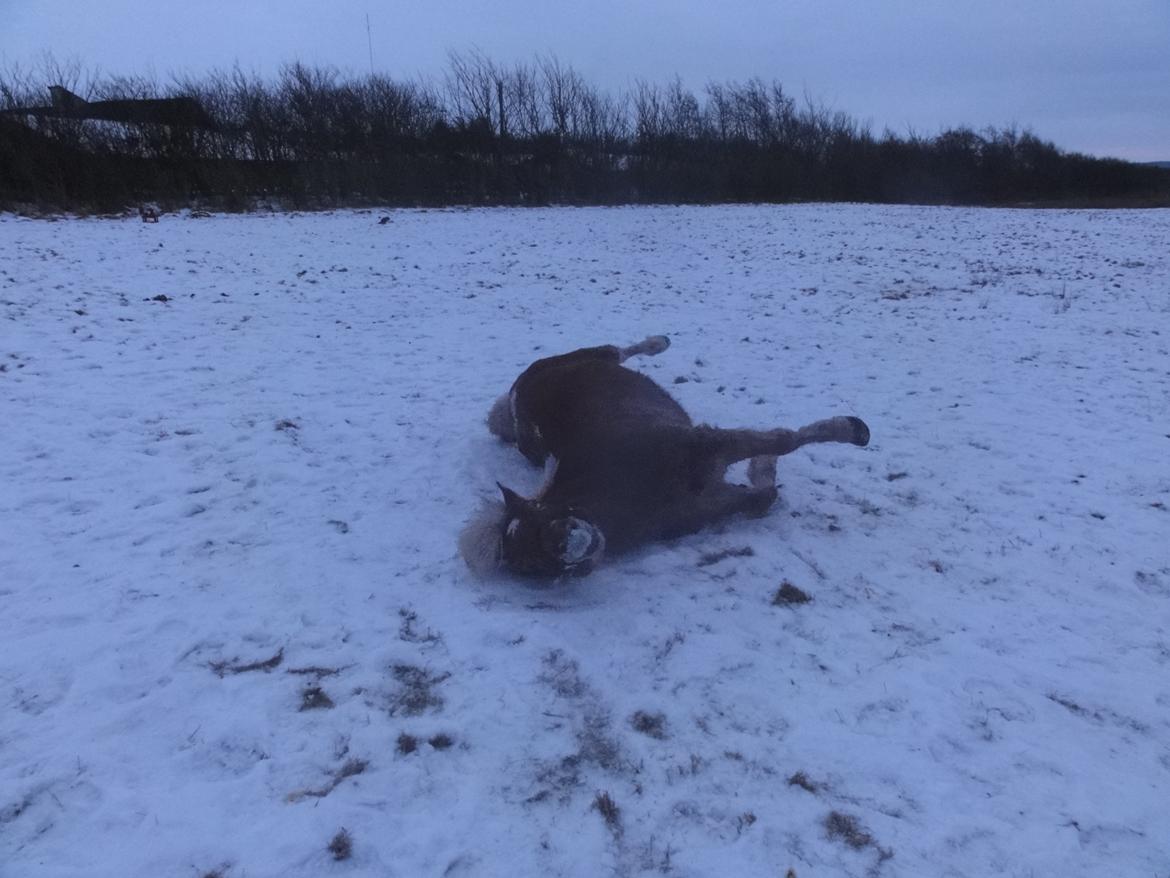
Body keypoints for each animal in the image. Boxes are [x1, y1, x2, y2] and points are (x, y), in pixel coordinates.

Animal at [456, 332, 870, 580]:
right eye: (535, 567)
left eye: (538, 515)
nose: (570, 546)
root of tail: (515, 397)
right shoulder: (715, 497)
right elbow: (764, 493)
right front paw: (761, 468)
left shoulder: (703, 444)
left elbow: (784, 440)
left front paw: (852, 429)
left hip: (587, 357)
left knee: (616, 350)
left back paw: (658, 342)